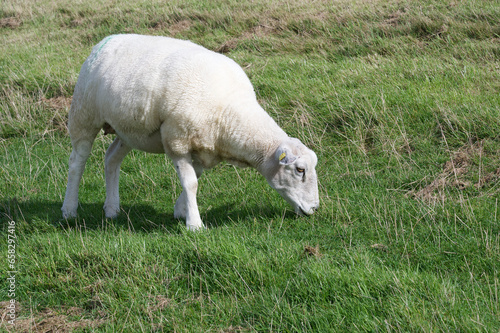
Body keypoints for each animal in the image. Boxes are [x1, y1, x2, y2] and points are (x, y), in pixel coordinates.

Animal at [61, 34, 320, 231]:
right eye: (300, 170)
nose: (315, 208)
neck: (230, 112)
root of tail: (105, 41)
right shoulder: (178, 141)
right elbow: (191, 183)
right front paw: (194, 224)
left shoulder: (206, 148)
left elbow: (196, 177)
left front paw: (181, 210)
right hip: (84, 113)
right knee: (77, 161)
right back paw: (69, 209)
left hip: (128, 130)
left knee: (111, 159)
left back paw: (112, 209)